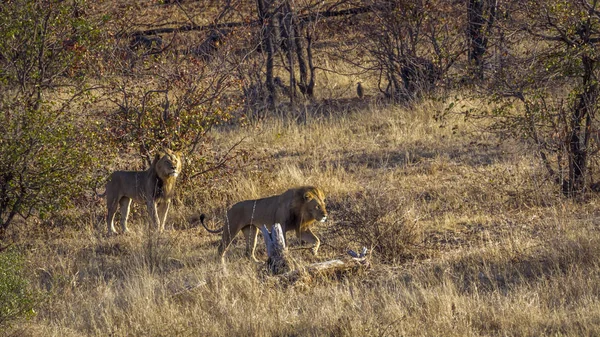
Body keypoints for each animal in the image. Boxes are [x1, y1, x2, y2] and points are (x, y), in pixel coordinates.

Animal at [200, 185, 328, 262]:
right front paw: (285, 257)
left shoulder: (301, 229)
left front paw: (313, 251)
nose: (325, 216)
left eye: (324, 205)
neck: (300, 209)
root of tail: (229, 208)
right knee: (221, 249)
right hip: (231, 228)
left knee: (249, 252)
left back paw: (257, 262)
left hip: (251, 230)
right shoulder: (281, 226)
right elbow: (284, 245)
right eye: (317, 206)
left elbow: (317, 239)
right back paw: (222, 266)